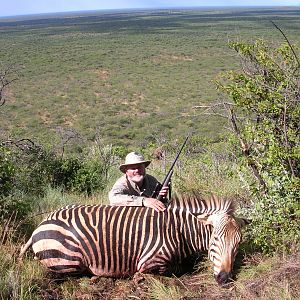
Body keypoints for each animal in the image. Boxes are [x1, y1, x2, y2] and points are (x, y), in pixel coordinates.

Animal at [18, 193, 248, 284]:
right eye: (215, 240)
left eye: (238, 244)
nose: (225, 278)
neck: (178, 230)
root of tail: (42, 223)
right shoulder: (151, 261)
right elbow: (172, 271)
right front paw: (137, 276)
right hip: (69, 260)